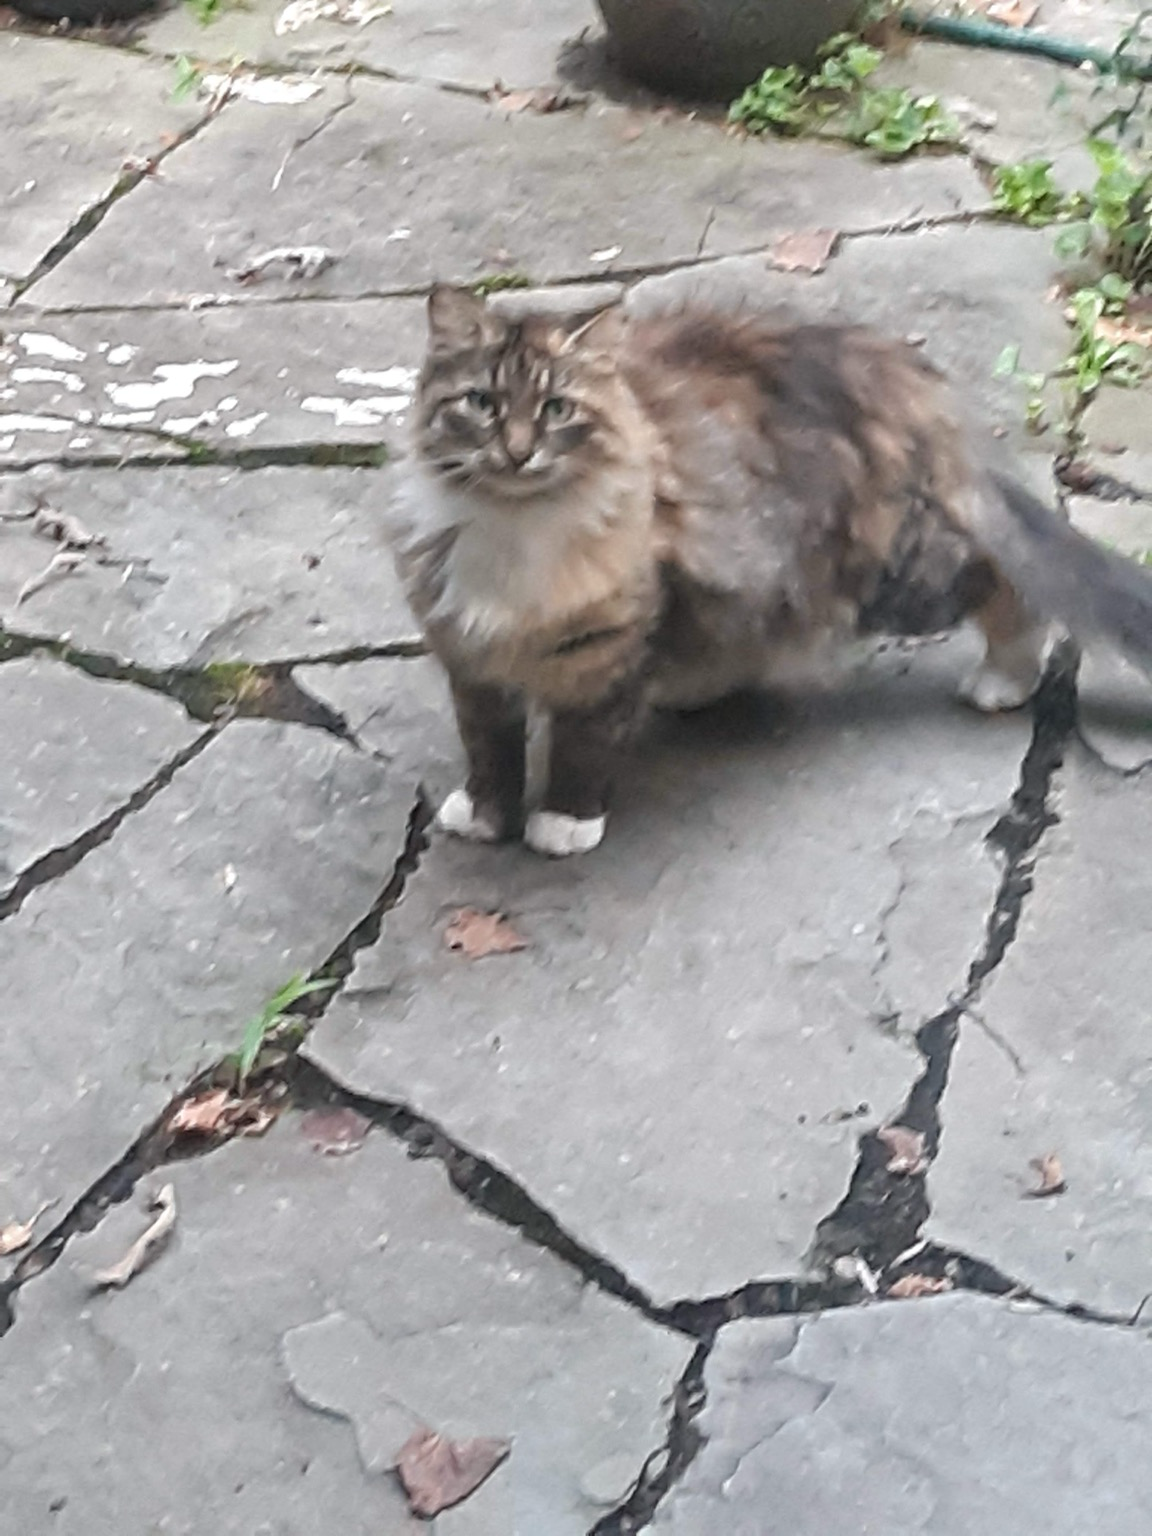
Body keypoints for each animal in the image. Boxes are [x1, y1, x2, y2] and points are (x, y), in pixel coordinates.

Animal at [390, 284, 1152, 860]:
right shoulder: (469, 654)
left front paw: (563, 822)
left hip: (888, 576)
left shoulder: (611, 642)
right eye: (482, 404)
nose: (517, 453)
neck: (513, 528)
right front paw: (486, 816)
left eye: (555, 409)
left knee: (1001, 583)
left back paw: (1003, 680)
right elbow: (488, 746)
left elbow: (584, 742)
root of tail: (905, 378)